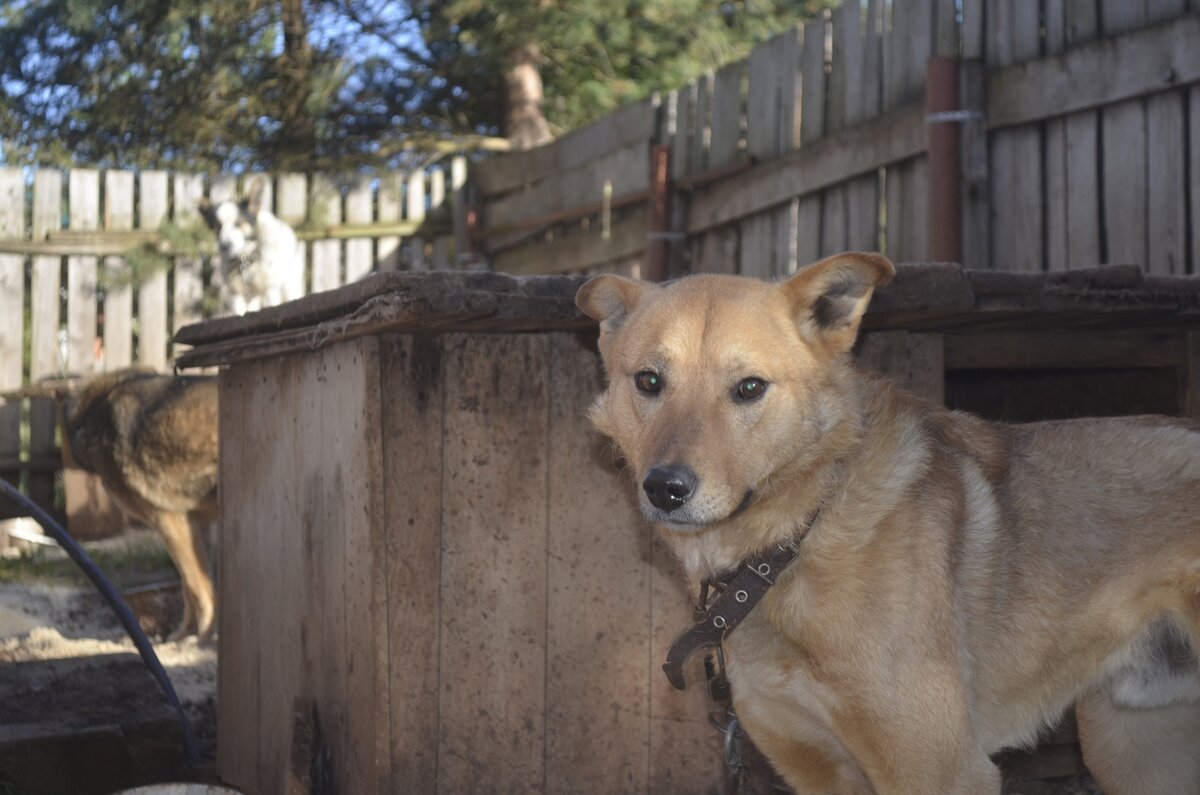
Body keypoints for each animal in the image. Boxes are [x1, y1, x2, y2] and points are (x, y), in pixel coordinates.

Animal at [64, 369, 218, 643]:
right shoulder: (194, 523)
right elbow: (191, 587)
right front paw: (182, 636)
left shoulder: (168, 520)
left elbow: (196, 586)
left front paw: (202, 639)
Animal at [198, 180, 302, 317]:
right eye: (217, 226)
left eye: (238, 223)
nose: (224, 246)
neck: (247, 258)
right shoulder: (236, 293)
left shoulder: (270, 287)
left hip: (289, 285)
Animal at [576, 256, 1200, 795]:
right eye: (649, 382)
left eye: (749, 387)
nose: (665, 488)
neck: (793, 544)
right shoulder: (818, 771)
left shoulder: (945, 773)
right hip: (1130, 749)